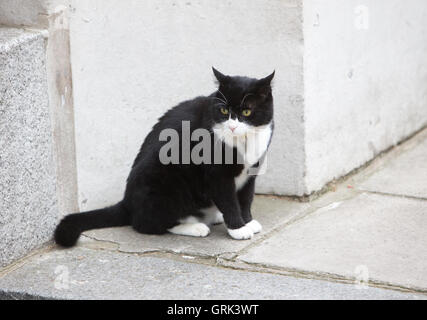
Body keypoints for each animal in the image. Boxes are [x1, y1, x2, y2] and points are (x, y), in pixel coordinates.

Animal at [54, 68, 274, 248]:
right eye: (223, 110)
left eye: (247, 111)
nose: (232, 126)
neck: (244, 141)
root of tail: (127, 202)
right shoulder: (216, 174)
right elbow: (229, 200)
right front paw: (238, 228)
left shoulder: (251, 172)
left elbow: (246, 198)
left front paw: (248, 221)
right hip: (166, 181)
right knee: (146, 224)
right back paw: (195, 226)